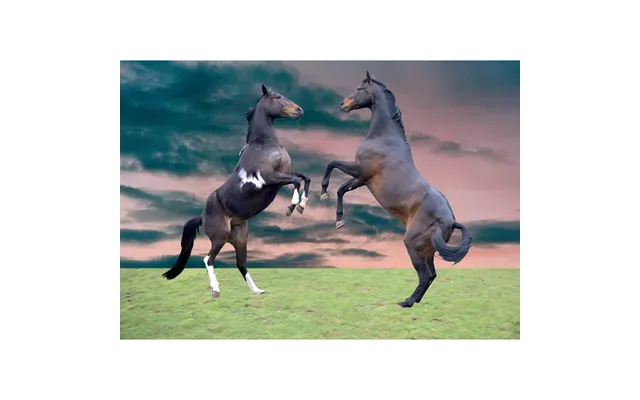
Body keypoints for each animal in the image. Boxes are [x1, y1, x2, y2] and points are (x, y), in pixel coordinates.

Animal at [162, 84, 311, 298]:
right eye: (277, 96)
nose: (299, 110)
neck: (264, 145)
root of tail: (202, 217)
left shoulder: (284, 175)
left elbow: (305, 178)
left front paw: (302, 205)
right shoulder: (271, 179)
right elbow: (297, 181)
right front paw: (292, 207)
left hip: (240, 238)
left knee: (241, 264)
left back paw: (257, 290)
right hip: (220, 237)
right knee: (208, 259)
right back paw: (216, 289)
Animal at [320, 71, 473, 308]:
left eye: (359, 88)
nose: (343, 104)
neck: (384, 138)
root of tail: (451, 220)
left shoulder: (360, 170)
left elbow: (331, 164)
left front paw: (323, 191)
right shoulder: (363, 179)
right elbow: (342, 190)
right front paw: (339, 221)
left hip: (412, 244)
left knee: (425, 275)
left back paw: (406, 302)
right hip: (427, 249)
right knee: (432, 274)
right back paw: (414, 301)